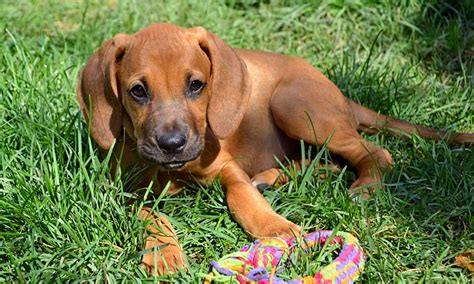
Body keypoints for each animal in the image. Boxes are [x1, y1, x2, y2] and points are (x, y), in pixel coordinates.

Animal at [76, 23, 472, 274]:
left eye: (196, 85)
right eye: (137, 91)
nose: (172, 145)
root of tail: (341, 95)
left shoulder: (228, 169)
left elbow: (242, 197)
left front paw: (276, 227)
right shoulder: (128, 191)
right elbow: (154, 216)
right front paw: (164, 255)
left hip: (294, 106)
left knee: (375, 153)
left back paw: (364, 188)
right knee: (324, 161)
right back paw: (274, 176)